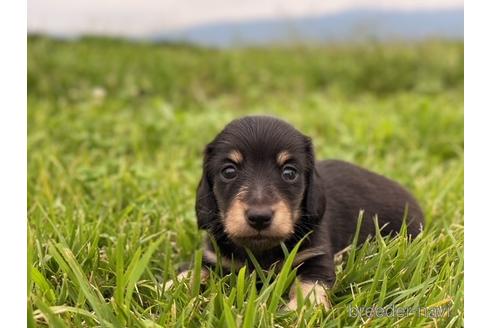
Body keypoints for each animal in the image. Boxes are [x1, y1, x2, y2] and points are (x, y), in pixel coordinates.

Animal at [181, 116, 422, 310]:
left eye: (289, 172)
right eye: (229, 171)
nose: (259, 217)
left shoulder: (316, 258)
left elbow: (309, 286)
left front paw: (301, 310)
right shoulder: (212, 258)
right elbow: (189, 273)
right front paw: (174, 288)